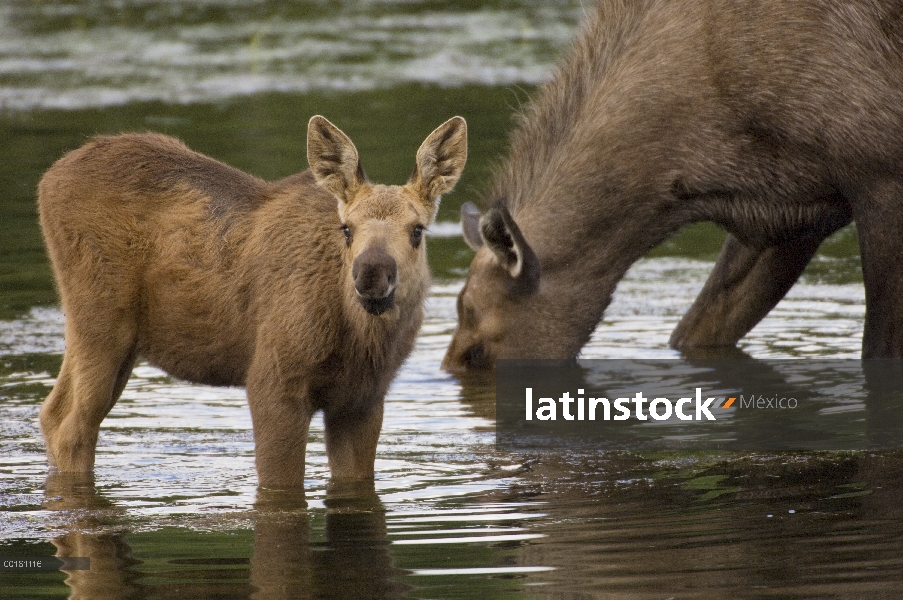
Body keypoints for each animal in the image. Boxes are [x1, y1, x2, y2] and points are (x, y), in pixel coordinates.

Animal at [38, 113, 470, 488]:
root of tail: (48, 178)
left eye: (417, 230)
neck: (359, 341)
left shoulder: (362, 399)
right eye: (346, 228)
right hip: (99, 322)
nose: (371, 272)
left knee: (53, 412)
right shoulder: (272, 383)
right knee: (72, 425)